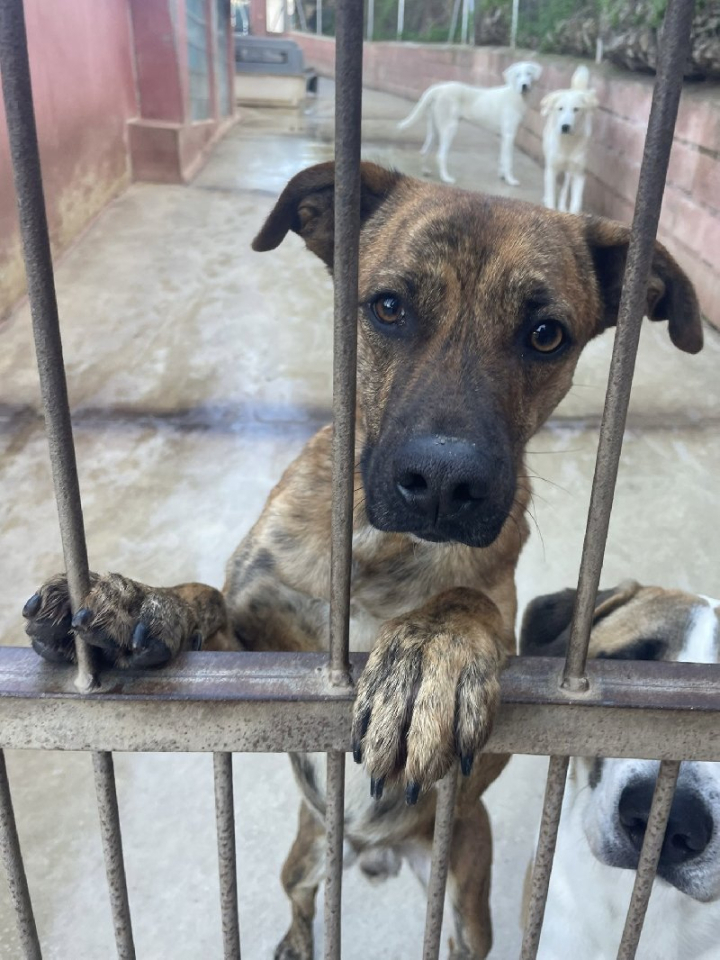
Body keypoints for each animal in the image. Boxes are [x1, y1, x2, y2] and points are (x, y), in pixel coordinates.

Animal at [398, 61, 542, 186]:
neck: (515, 94)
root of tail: (438, 88)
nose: (524, 85)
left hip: (435, 129)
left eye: (529, 74)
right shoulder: (509, 135)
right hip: (449, 128)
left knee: (424, 150)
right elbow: (508, 160)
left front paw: (502, 176)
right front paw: (510, 180)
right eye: (518, 75)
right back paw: (446, 178)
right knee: (440, 156)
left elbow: (502, 158)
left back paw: (425, 170)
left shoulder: (502, 136)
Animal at [541, 65, 599, 214]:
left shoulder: (579, 173)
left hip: (571, 170)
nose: (565, 127)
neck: (567, 143)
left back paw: (562, 206)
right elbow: (550, 198)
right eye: (560, 108)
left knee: (566, 185)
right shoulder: (551, 169)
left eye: (576, 109)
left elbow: (576, 203)